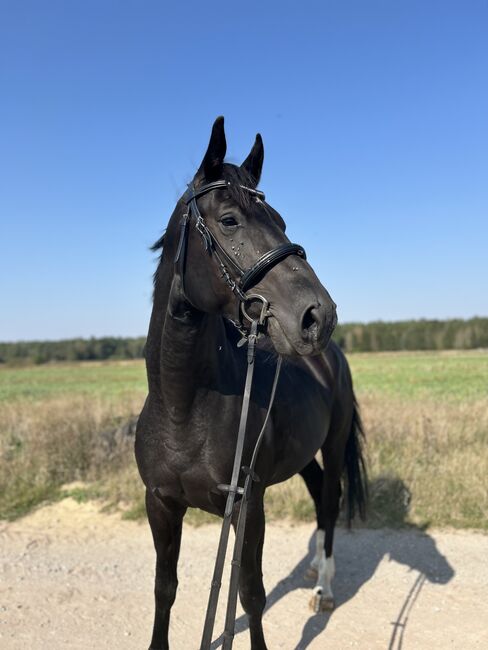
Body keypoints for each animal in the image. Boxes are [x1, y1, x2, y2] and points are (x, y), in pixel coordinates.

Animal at [135, 117, 368, 648]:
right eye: (228, 221)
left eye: (280, 220)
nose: (318, 316)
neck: (183, 407)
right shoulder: (160, 504)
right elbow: (163, 589)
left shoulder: (247, 505)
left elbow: (250, 594)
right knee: (319, 494)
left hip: (333, 443)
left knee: (330, 503)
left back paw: (323, 589)